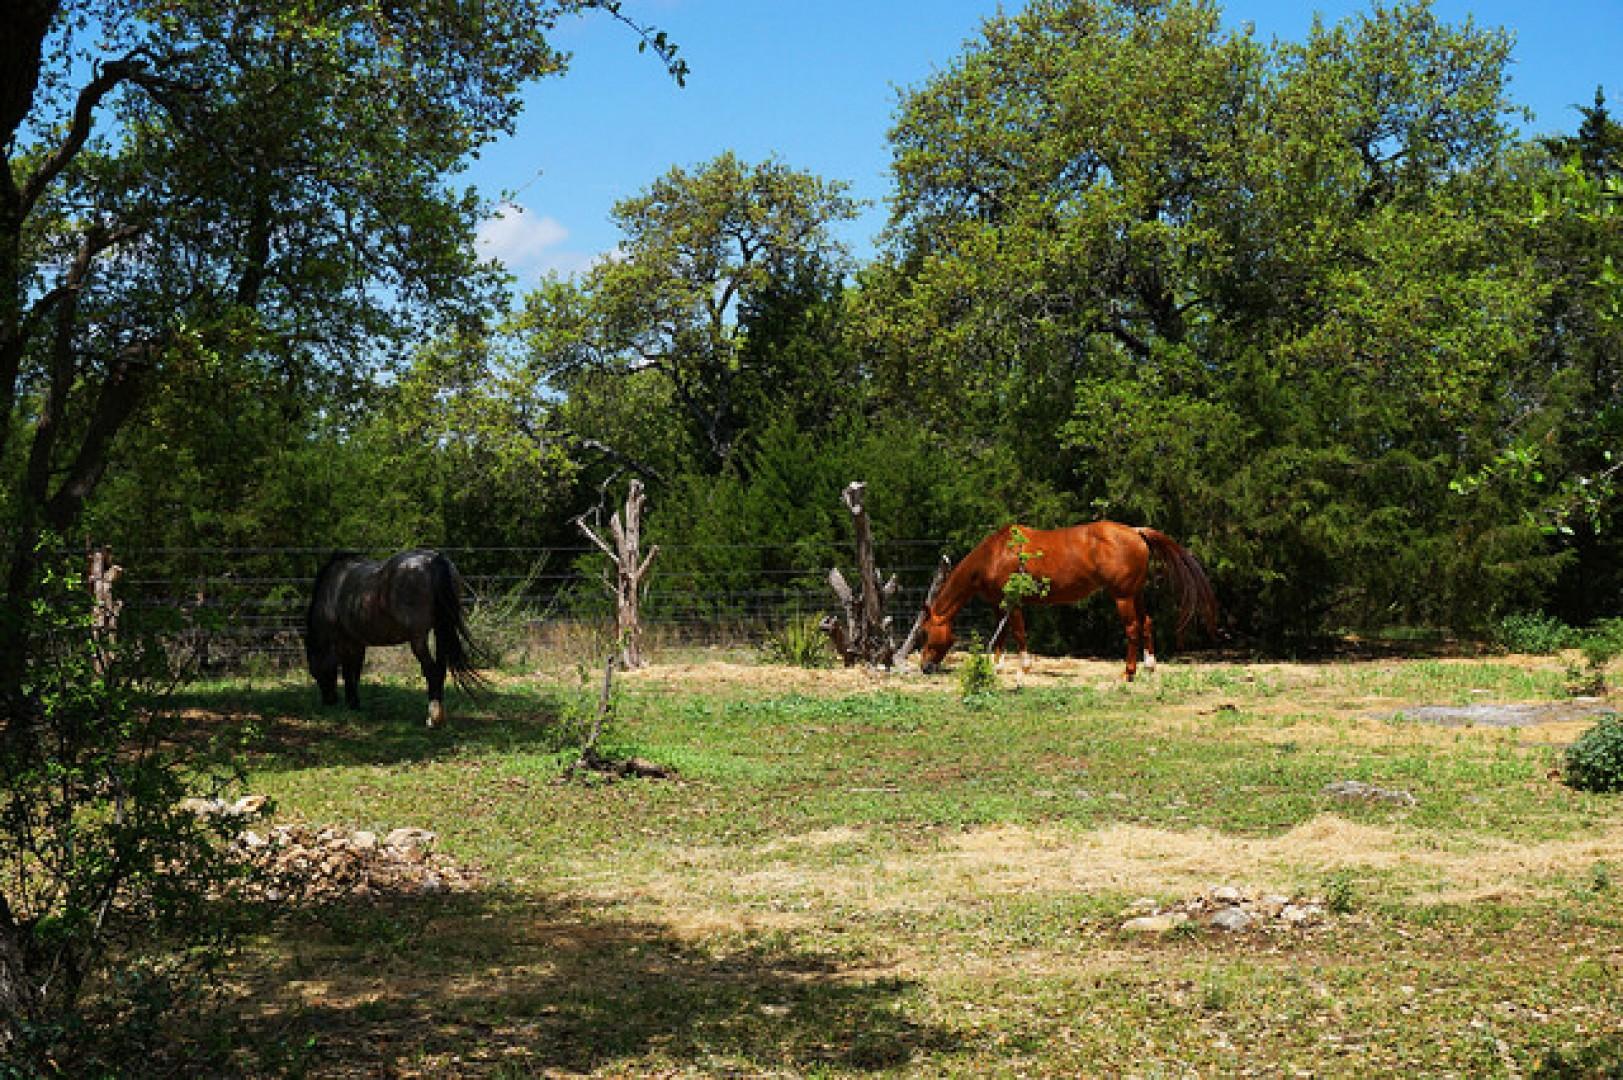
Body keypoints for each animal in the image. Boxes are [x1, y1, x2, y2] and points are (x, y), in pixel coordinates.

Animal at [304, 549, 487, 727]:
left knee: (432, 671)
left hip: (418, 639)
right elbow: (355, 672)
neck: (333, 589)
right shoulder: (358, 643)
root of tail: (433, 560)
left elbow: (349, 673)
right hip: (440, 630)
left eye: (315, 671)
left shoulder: (344, 642)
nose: (329, 700)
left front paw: (352, 705)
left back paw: (432, 718)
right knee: (440, 669)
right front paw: (355, 704)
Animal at [916, 521, 1217, 681]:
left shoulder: (1013, 603)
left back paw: (1127, 673)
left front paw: (1024, 667)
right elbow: (1001, 636)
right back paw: (1149, 666)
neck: (996, 554)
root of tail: (1135, 531)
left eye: (926, 632)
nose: (925, 667)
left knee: (1132, 628)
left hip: (1122, 596)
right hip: (1136, 593)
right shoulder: (999, 605)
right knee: (1146, 623)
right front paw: (996, 666)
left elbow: (1018, 633)